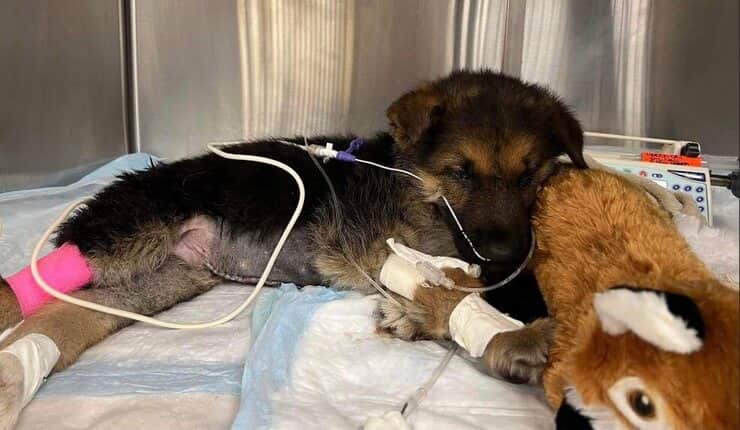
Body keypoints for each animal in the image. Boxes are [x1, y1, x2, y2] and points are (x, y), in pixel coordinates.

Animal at [0, 70, 586, 426]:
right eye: (461, 173)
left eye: (530, 175)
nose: (509, 254)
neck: (413, 181)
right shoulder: (390, 251)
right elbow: (454, 288)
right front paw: (518, 336)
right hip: (128, 239)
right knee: (43, 281)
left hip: (156, 279)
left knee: (69, 312)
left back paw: (17, 372)